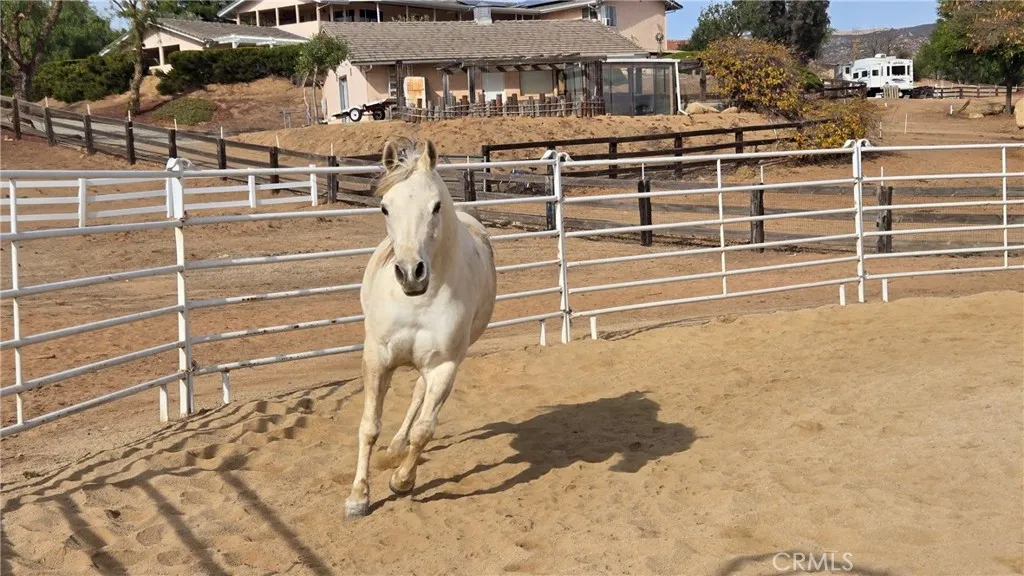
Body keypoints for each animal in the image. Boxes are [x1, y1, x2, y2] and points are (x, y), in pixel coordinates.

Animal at [345, 137, 498, 519]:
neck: (417, 301)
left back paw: (398, 450)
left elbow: (424, 430)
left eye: (435, 206)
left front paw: (402, 481)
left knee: (418, 396)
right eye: (385, 208)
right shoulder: (377, 358)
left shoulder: (444, 366)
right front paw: (358, 497)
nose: (410, 273)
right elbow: (369, 426)